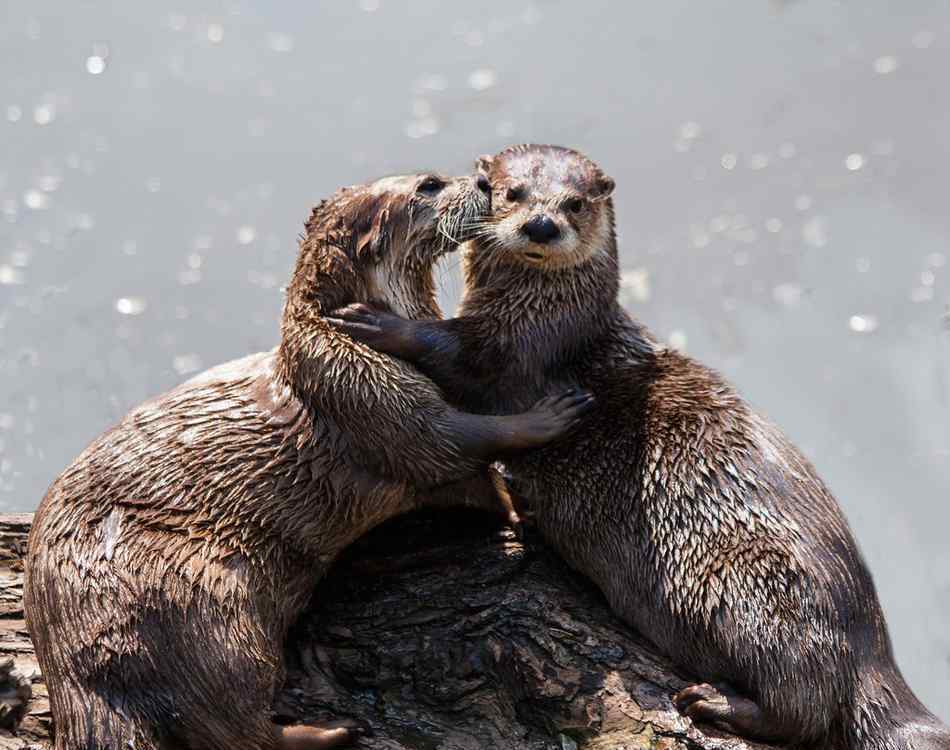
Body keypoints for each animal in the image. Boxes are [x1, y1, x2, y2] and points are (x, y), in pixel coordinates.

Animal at [24, 170, 596, 750]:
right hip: (201, 607)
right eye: (429, 185)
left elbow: (476, 478)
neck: (340, 336)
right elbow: (452, 439)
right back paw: (335, 728)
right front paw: (547, 417)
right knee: (233, 724)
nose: (483, 179)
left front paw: (513, 505)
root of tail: (72, 666)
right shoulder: (361, 391)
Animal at [330, 147, 950, 750]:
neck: (545, 323)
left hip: (756, 592)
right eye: (511, 192)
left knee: (804, 708)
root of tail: (871, 645)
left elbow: (460, 362)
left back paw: (715, 701)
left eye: (575, 203)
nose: (541, 224)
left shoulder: (511, 358)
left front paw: (382, 325)